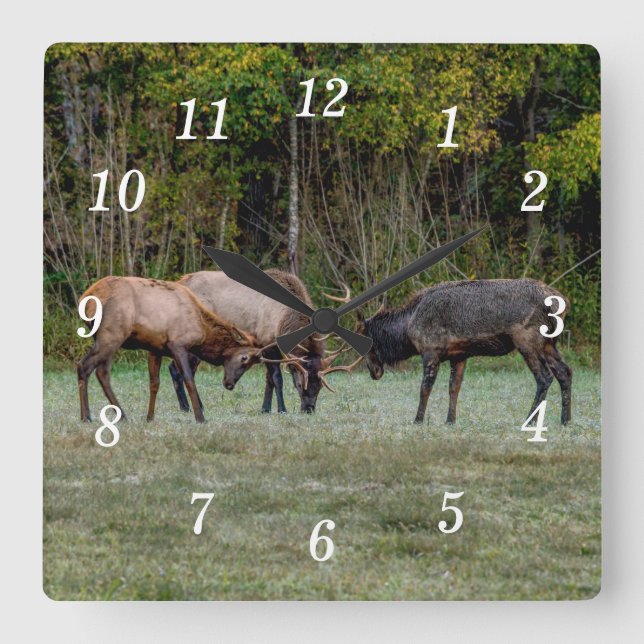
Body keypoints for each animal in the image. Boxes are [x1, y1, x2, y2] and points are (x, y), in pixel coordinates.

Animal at [76, 276, 292, 423]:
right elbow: (188, 378)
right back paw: (88, 416)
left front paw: (150, 417)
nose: (229, 384)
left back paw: (118, 415)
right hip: (111, 334)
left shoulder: (154, 348)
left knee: (102, 372)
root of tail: (85, 299)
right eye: (244, 358)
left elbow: (154, 383)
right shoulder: (177, 344)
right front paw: (200, 417)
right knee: (84, 365)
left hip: (108, 338)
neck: (202, 330)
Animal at [169, 269, 350, 414]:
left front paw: (265, 409)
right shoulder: (266, 343)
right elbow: (277, 378)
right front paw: (282, 409)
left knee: (176, 367)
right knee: (180, 370)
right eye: (300, 385)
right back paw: (188, 407)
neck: (282, 320)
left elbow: (268, 379)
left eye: (320, 386)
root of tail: (179, 282)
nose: (309, 409)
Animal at [329, 278, 572, 425]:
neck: (408, 329)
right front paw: (450, 420)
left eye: (366, 344)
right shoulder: (459, 354)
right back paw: (565, 419)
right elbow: (454, 388)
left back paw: (529, 420)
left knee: (544, 377)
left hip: (528, 339)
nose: (374, 371)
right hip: (549, 344)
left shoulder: (431, 350)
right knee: (565, 372)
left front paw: (418, 420)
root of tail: (562, 302)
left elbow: (425, 388)